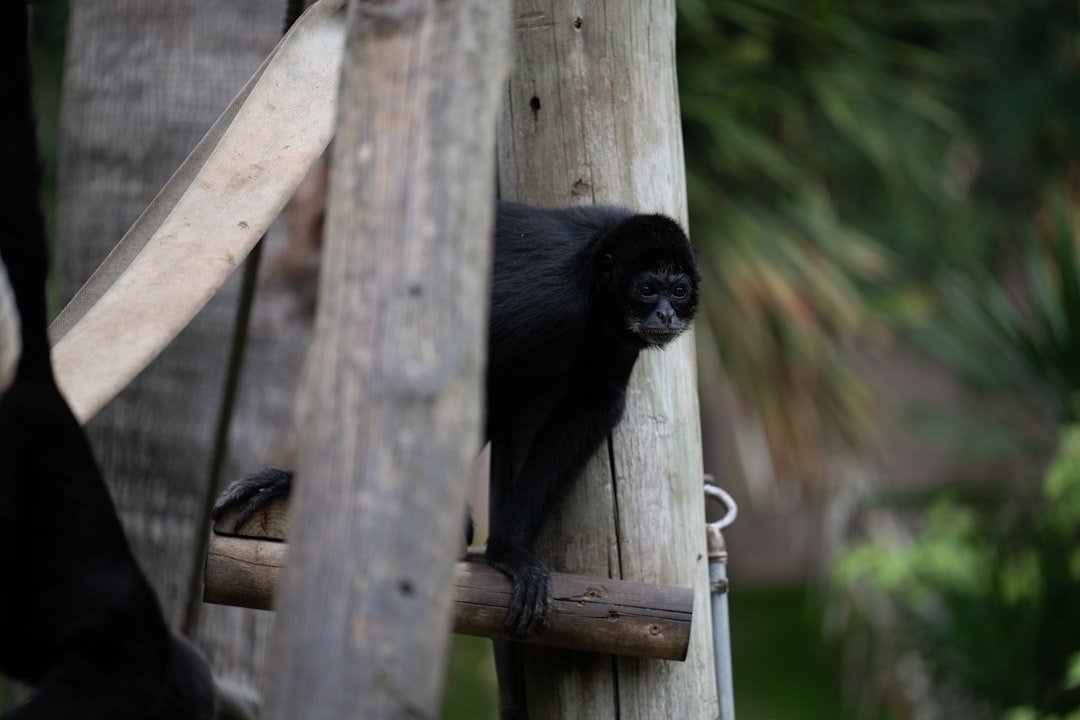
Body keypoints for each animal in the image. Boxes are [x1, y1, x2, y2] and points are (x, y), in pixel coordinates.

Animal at [215, 199, 700, 636]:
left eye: (678, 291)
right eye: (647, 289)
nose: (665, 313)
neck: (591, 273)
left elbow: (596, 400)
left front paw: (507, 550)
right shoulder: (546, 303)